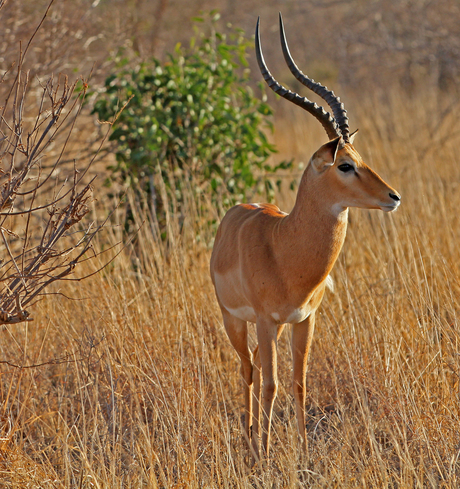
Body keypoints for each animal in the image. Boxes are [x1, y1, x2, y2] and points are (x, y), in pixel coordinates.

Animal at [209, 14, 398, 458]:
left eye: (360, 158)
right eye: (344, 165)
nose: (392, 197)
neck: (285, 248)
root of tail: (237, 210)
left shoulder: (304, 319)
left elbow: (298, 383)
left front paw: (303, 451)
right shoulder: (265, 319)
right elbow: (272, 384)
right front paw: (264, 454)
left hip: (269, 329)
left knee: (256, 366)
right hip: (234, 320)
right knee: (247, 370)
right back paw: (249, 439)